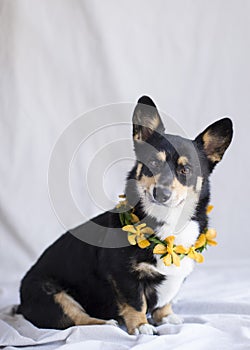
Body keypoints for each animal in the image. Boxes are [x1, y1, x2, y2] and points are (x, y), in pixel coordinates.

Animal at [17, 95, 232, 334]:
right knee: (78, 319)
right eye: (153, 163)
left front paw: (166, 317)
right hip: (54, 295)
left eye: (185, 170)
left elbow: (165, 301)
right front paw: (141, 325)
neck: (166, 221)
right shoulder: (124, 276)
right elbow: (136, 302)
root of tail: (21, 304)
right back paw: (106, 323)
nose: (161, 193)